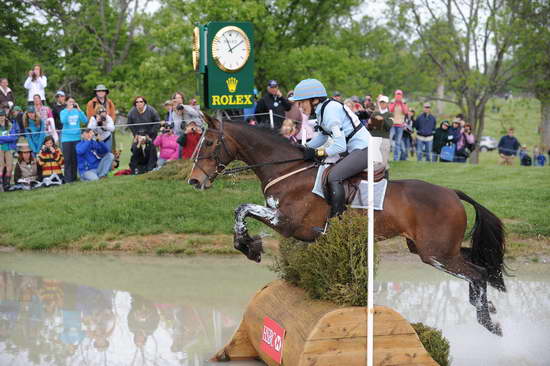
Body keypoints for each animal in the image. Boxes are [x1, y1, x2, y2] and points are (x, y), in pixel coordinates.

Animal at [189, 116, 508, 336]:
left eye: (208, 143)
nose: (194, 181)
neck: (288, 170)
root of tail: (452, 192)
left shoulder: (288, 223)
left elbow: (242, 209)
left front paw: (249, 246)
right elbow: (241, 211)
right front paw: (248, 244)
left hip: (436, 254)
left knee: (478, 273)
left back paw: (488, 322)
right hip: (430, 248)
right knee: (477, 263)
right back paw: (486, 306)